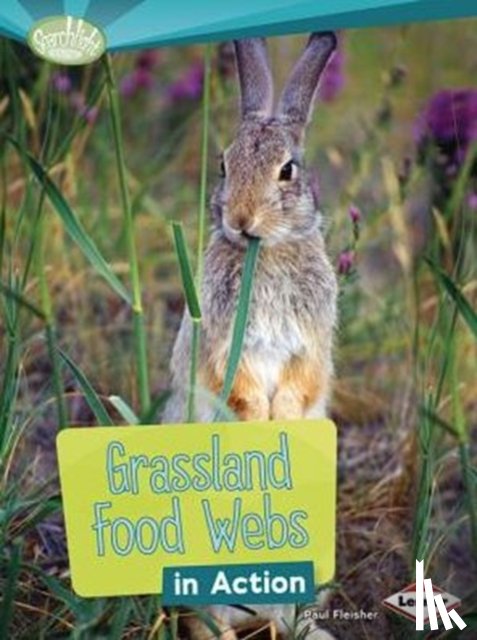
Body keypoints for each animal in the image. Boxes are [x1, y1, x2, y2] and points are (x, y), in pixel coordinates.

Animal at [164, 33, 338, 640]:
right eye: (223, 164)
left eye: (288, 170)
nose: (240, 219)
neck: (268, 251)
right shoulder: (220, 341)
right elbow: (236, 384)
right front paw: (259, 423)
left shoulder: (310, 343)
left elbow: (300, 383)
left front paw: (281, 422)